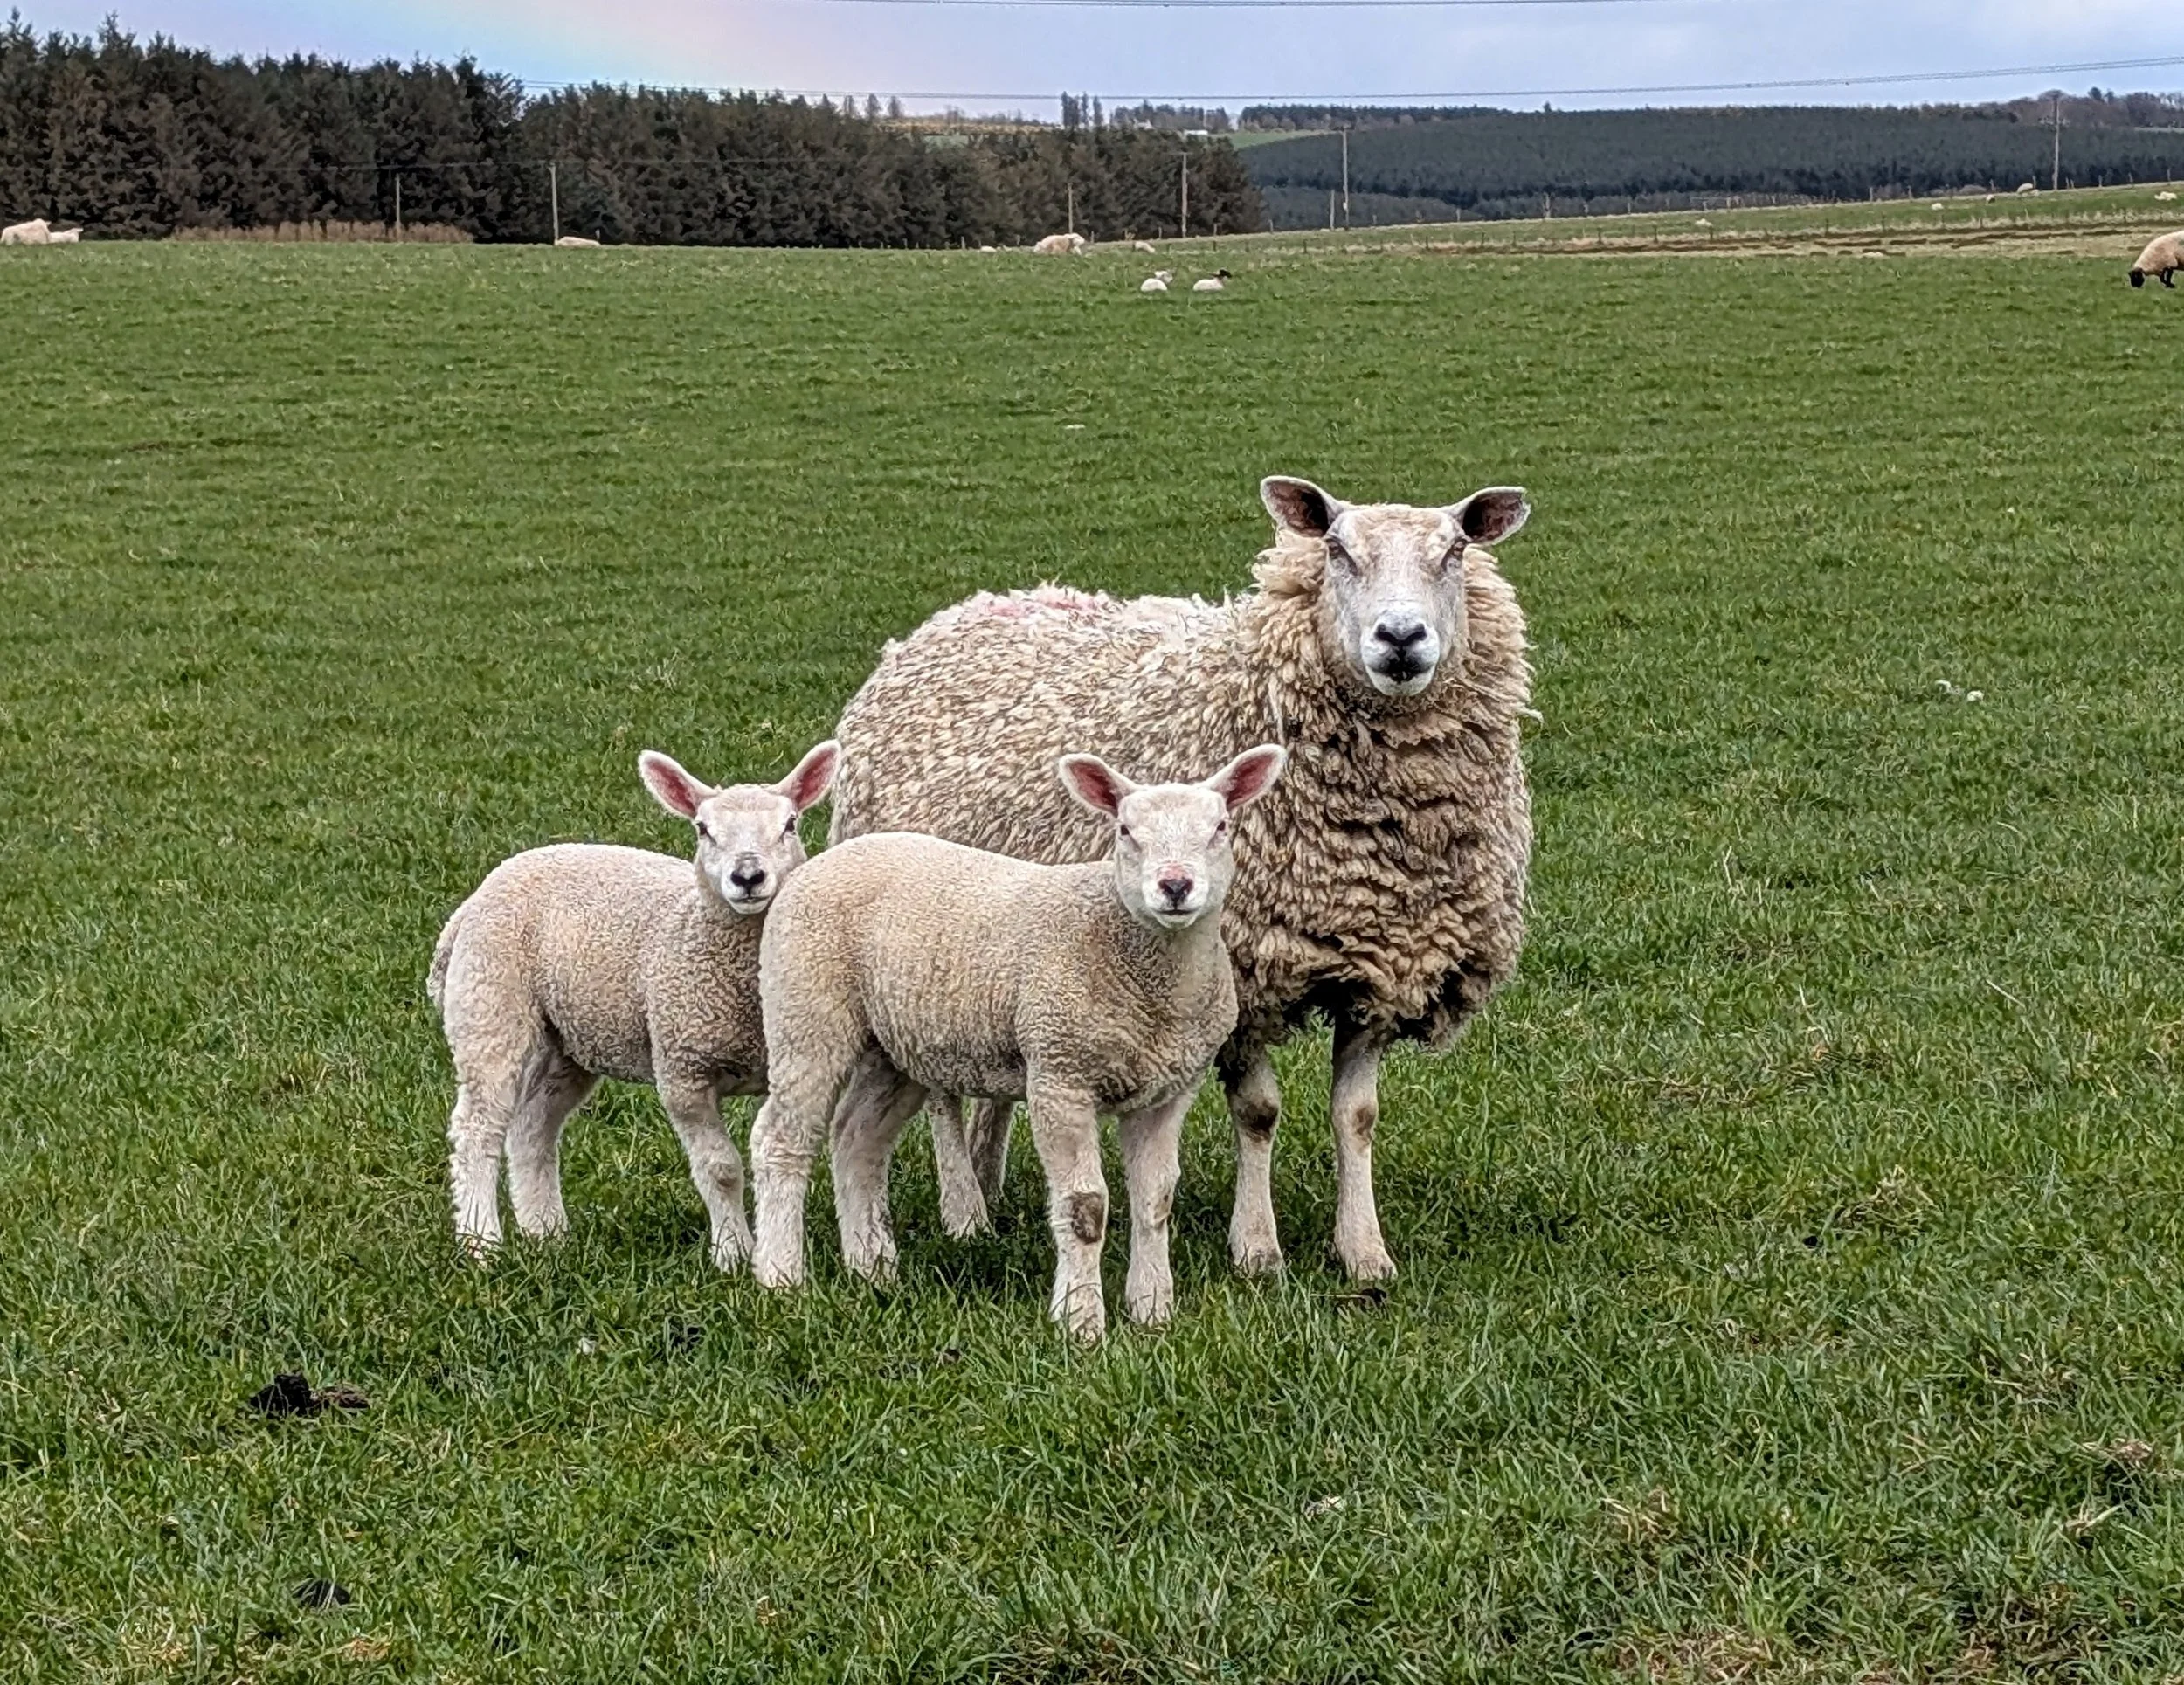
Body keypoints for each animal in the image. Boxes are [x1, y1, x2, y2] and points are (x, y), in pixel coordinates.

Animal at [430, 741, 840, 1266]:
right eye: (703, 829)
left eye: (790, 824)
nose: (748, 876)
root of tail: (474, 900)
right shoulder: (683, 1071)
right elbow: (720, 1169)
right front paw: (731, 1254)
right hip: (490, 1004)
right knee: (477, 1128)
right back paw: (483, 1243)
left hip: (572, 1036)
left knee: (533, 1127)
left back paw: (547, 1234)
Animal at [749, 746, 1289, 1339]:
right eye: (1125, 831)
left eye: (1220, 828)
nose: (1174, 886)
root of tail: (821, 861)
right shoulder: (1059, 1074)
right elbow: (1084, 1208)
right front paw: (1081, 1322)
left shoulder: (1169, 1090)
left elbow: (1155, 1200)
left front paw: (1152, 1311)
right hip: (806, 1011)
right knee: (781, 1138)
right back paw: (780, 1274)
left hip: (893, 1044)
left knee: (856, 1139)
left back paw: (871, 1267)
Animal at [829, 475, 1534, 1283]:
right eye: (1336, 550)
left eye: (1455, 551)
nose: (1401, 638)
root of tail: (964, 610)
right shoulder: (1243, 970)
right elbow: (1259, 1112)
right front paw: (1257, 1249)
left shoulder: (1381, 967)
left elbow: (1356, 1118)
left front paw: (1364, 1252)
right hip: (919, 949)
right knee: (941, 1088)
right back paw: (965, 1211)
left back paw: (990, 1179)